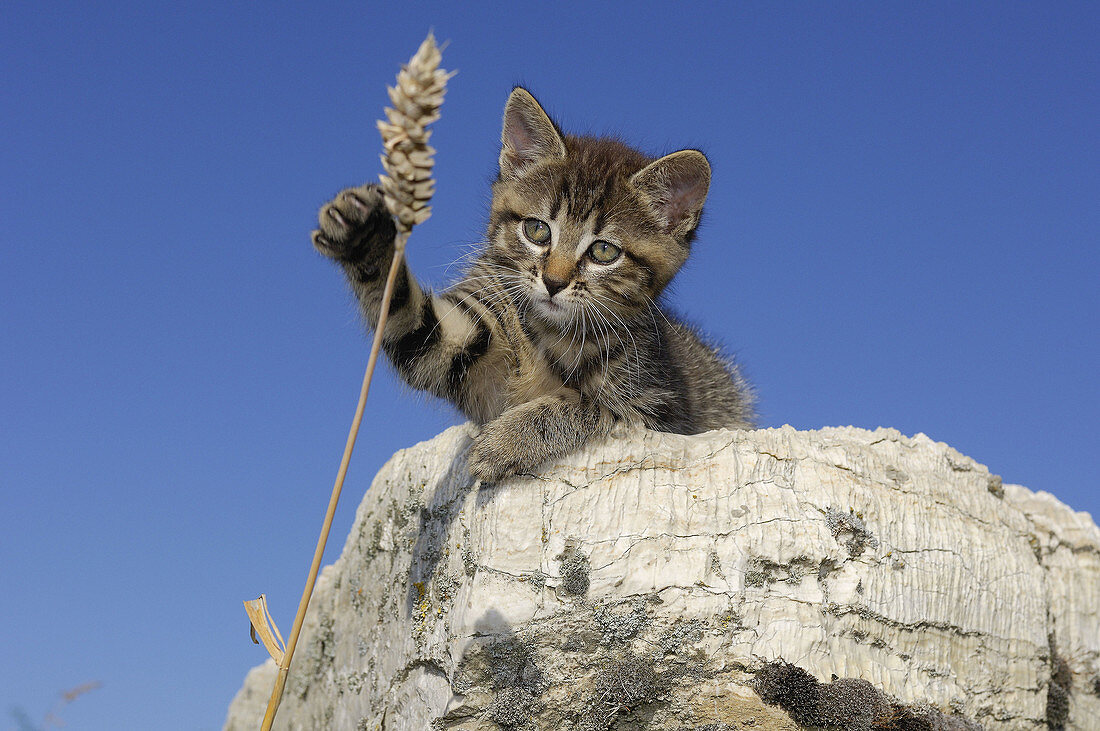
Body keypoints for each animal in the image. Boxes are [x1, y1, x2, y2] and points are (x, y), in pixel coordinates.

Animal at [314, 86, 752, 479]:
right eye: (537, 230)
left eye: (604, 252)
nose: (554, 282)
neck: (548, 333)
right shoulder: (461, 330)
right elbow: (412, 322)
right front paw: (364, 234)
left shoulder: (654, 408)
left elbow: (587, 407)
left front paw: (506, 441)